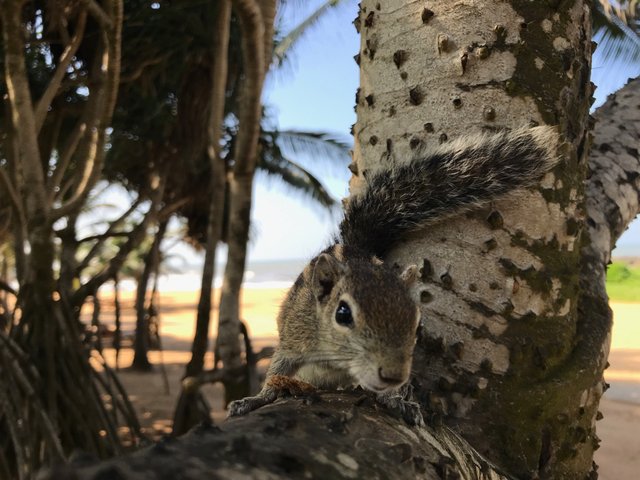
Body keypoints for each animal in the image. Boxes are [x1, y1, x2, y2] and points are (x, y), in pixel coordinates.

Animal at [228, 125, 556, 422]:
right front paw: (255, 398)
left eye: (417, 322)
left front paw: (396, 400)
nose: (393, 376)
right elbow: (276, 370)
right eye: (342, 314)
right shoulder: (296, 335)